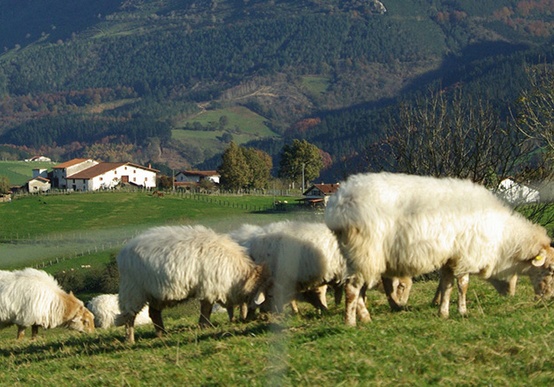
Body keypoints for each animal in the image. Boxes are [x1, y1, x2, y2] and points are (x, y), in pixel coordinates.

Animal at [115, 226, 270, 344]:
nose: (262, 317)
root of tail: (123, 252)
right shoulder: (209, 288)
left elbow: (230, 307)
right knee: (129, 316)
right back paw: (130, 340)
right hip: (133, 290)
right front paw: (205, 326)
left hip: (156, 294)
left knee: (154, 313)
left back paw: (162, 334)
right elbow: (207, 309)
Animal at [324, 173, 552, 328]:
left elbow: (447, 286)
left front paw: (443, 312)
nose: (548, 298)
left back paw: (365, 318)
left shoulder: (450, 259)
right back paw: (351, 322)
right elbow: (463, 286)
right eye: (550, 270)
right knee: (352, 288)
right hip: (365, 252)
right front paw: (462, 311)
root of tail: (339, 203)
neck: (502, 240)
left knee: (360, 290)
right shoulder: (464, 256)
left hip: (359, 256)